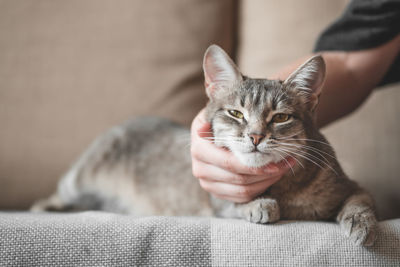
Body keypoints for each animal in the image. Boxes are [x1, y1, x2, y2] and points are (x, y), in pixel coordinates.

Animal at [32, 45, 378, 248]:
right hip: (78, 180)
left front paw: (363, 225)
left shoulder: (351, 185)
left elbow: (362, 202)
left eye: (280, 117)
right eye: (236, 113)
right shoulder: (217, 198)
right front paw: (259, 205)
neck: (284, 192)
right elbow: (237, 205)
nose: (255, 136)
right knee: (54, 197)